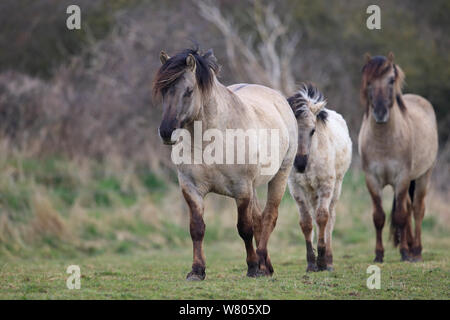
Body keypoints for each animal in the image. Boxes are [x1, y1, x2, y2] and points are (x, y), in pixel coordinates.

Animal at [152, 47, 298, 280]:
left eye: (189, 91)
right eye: (164, 90)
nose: (167, 132)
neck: (211, 140)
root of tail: (278, 98)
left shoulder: (242, 189)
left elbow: (245, 228)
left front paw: (252, 267)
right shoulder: (191, 188)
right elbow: (197, 229)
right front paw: (197, 270)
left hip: (279, 176)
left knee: (268, 218)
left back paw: (262, 264)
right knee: (259, 219)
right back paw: (266, 266)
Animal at [286, 84, 354, 272]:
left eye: (313, 130)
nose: (300, 164)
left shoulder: (326, 185)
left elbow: (323, 218)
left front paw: (323, 261)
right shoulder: (296, 189)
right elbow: (306, 223)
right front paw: (311, 263)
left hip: (336, 187)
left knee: (329, 219)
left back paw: (328, 260)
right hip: (311, 192)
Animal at [358, 53, 440, 262]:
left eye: (391, 80)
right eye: (369, 82)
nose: (380, 113)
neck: (384, 142)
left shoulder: (401, 178)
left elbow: (401, 216)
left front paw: (403, 252)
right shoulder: (372, 180)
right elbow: (379, 217)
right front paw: (379, 255)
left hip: (423, 176)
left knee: (417, 209)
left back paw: (416, 251)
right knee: (410, 207)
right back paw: (411, 248)